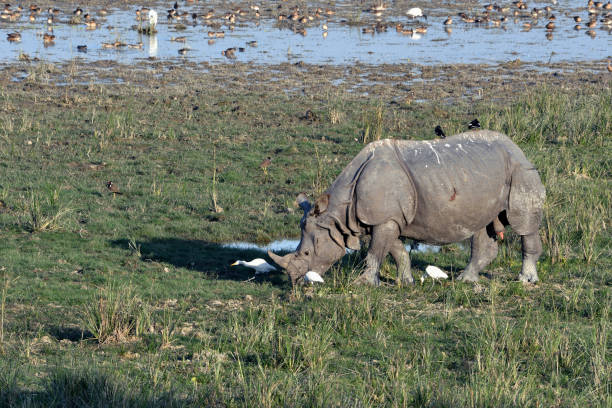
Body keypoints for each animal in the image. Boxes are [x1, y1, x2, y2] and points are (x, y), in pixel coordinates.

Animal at [270, 131, 548, 286]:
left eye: (307, 254)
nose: (294, 281)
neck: (338, 212)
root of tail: (518, 148)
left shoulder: (385, 219)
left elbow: (375, 253)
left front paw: (363, 284)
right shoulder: (389, 219)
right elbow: (396, 251)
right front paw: (407, 281)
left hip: (520, 171)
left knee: (523, 224)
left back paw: (526, 280)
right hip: (485, 174)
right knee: (481, 226)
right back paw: (465, 280)